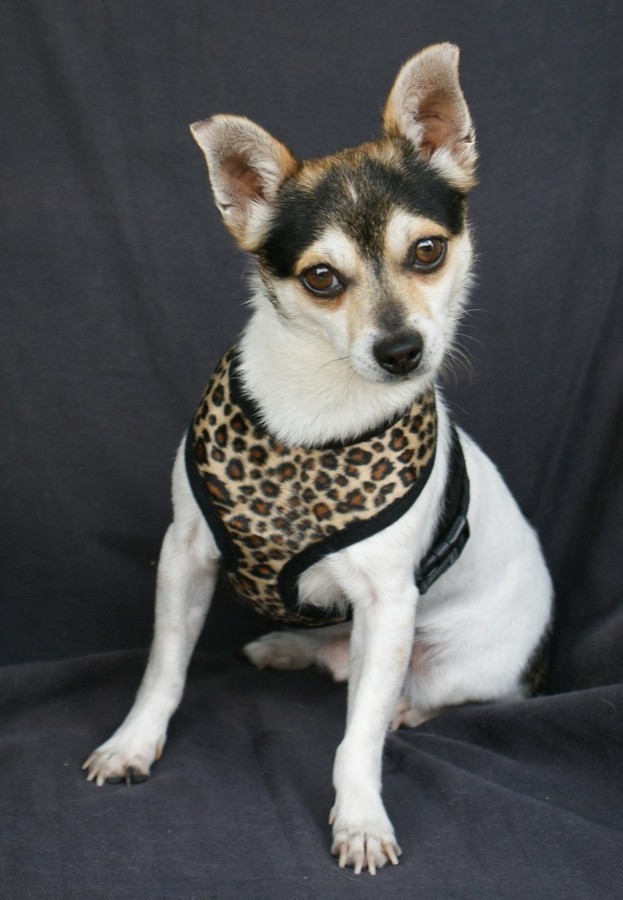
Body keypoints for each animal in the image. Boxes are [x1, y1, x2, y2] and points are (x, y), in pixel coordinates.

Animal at [84, 43, 553, 875]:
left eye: (426, 251)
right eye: (321, 278)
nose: (401, 350)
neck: (315, 420)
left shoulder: (388, 603)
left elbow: (354, 741)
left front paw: (360, 816)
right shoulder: (186, 556)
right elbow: (163, 669)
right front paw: (135, 742)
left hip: (455, 663)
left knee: (408, 697)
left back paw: (396, 706)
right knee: (331, 658)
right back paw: (288, 646)